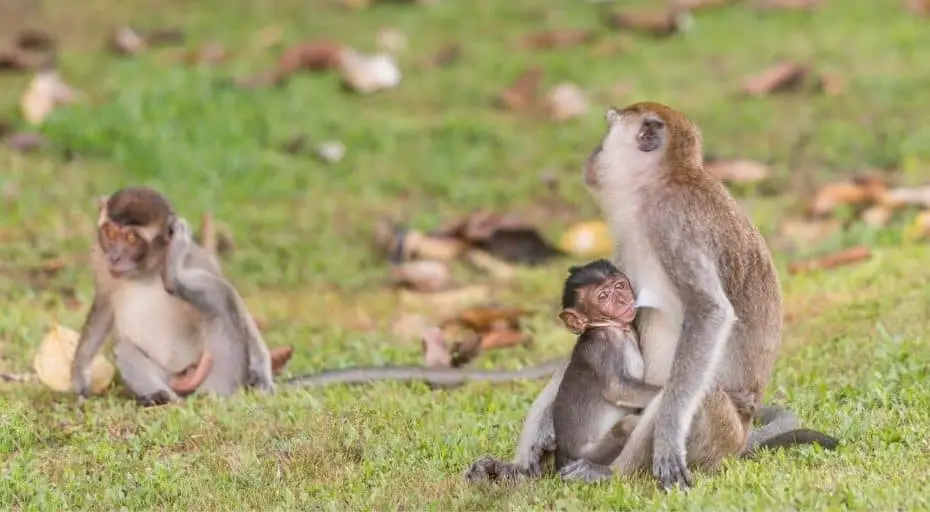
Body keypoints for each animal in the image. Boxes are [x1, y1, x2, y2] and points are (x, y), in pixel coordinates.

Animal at [70, 186, 279, 405]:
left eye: (131, 238)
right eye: (110, 232)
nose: (114, 257)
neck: (147, 271)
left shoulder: (196, 259)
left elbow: (236, 301)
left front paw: (263, 373)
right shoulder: (99, 260)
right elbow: (103, 308)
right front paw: (79, 377)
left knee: (222, 298)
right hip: (168, 378)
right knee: (123, 348)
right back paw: (161, 396)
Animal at [465, 102, 838, 489]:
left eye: (607, 133)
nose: (593, 155)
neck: (665, 179)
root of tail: (741, 437)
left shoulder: (670, 223)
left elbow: (709, 312)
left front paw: (667, 440)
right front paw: (535, 446)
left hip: (718, 432)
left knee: (682, 392)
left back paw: (610, 473)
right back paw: (521, 468)